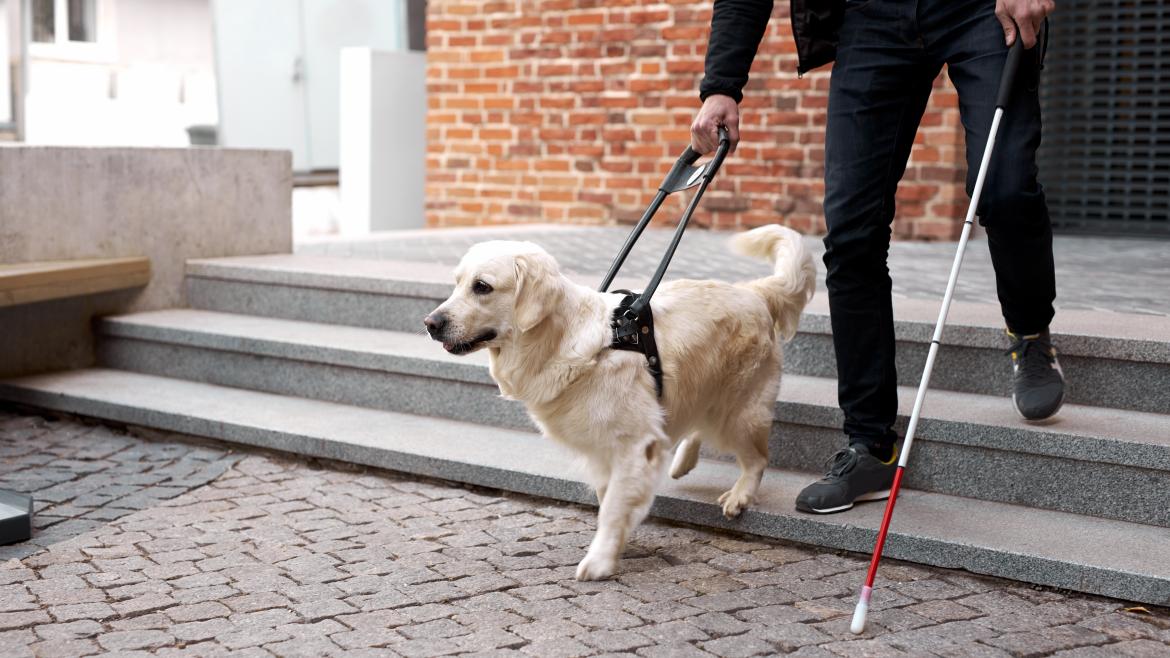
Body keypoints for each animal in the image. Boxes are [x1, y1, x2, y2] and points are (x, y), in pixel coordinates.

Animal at [425, 227, 819, 578]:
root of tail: (753, 291)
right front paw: (617, 545)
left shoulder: (633, 445)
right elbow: (609, 500)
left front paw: (600, 561)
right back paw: (683, 461)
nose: (430, 323)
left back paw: (740, 494)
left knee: (757, 458)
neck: (563, 341)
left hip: (739, 409)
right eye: (457, 282)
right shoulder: (603, 449)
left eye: (482, 286)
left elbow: (613, 507)